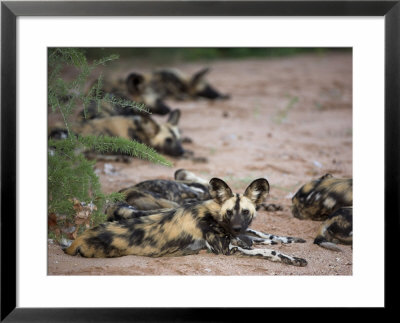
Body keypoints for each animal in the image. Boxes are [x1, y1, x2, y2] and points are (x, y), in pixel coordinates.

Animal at [65, 178, 308, 268]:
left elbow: (265, 236)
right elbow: (269, 250)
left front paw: (291, 240)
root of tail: (77, 240)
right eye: (229, 212)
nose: (238, 228)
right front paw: (292, 258)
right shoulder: (226, 249)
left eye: (246, 212)